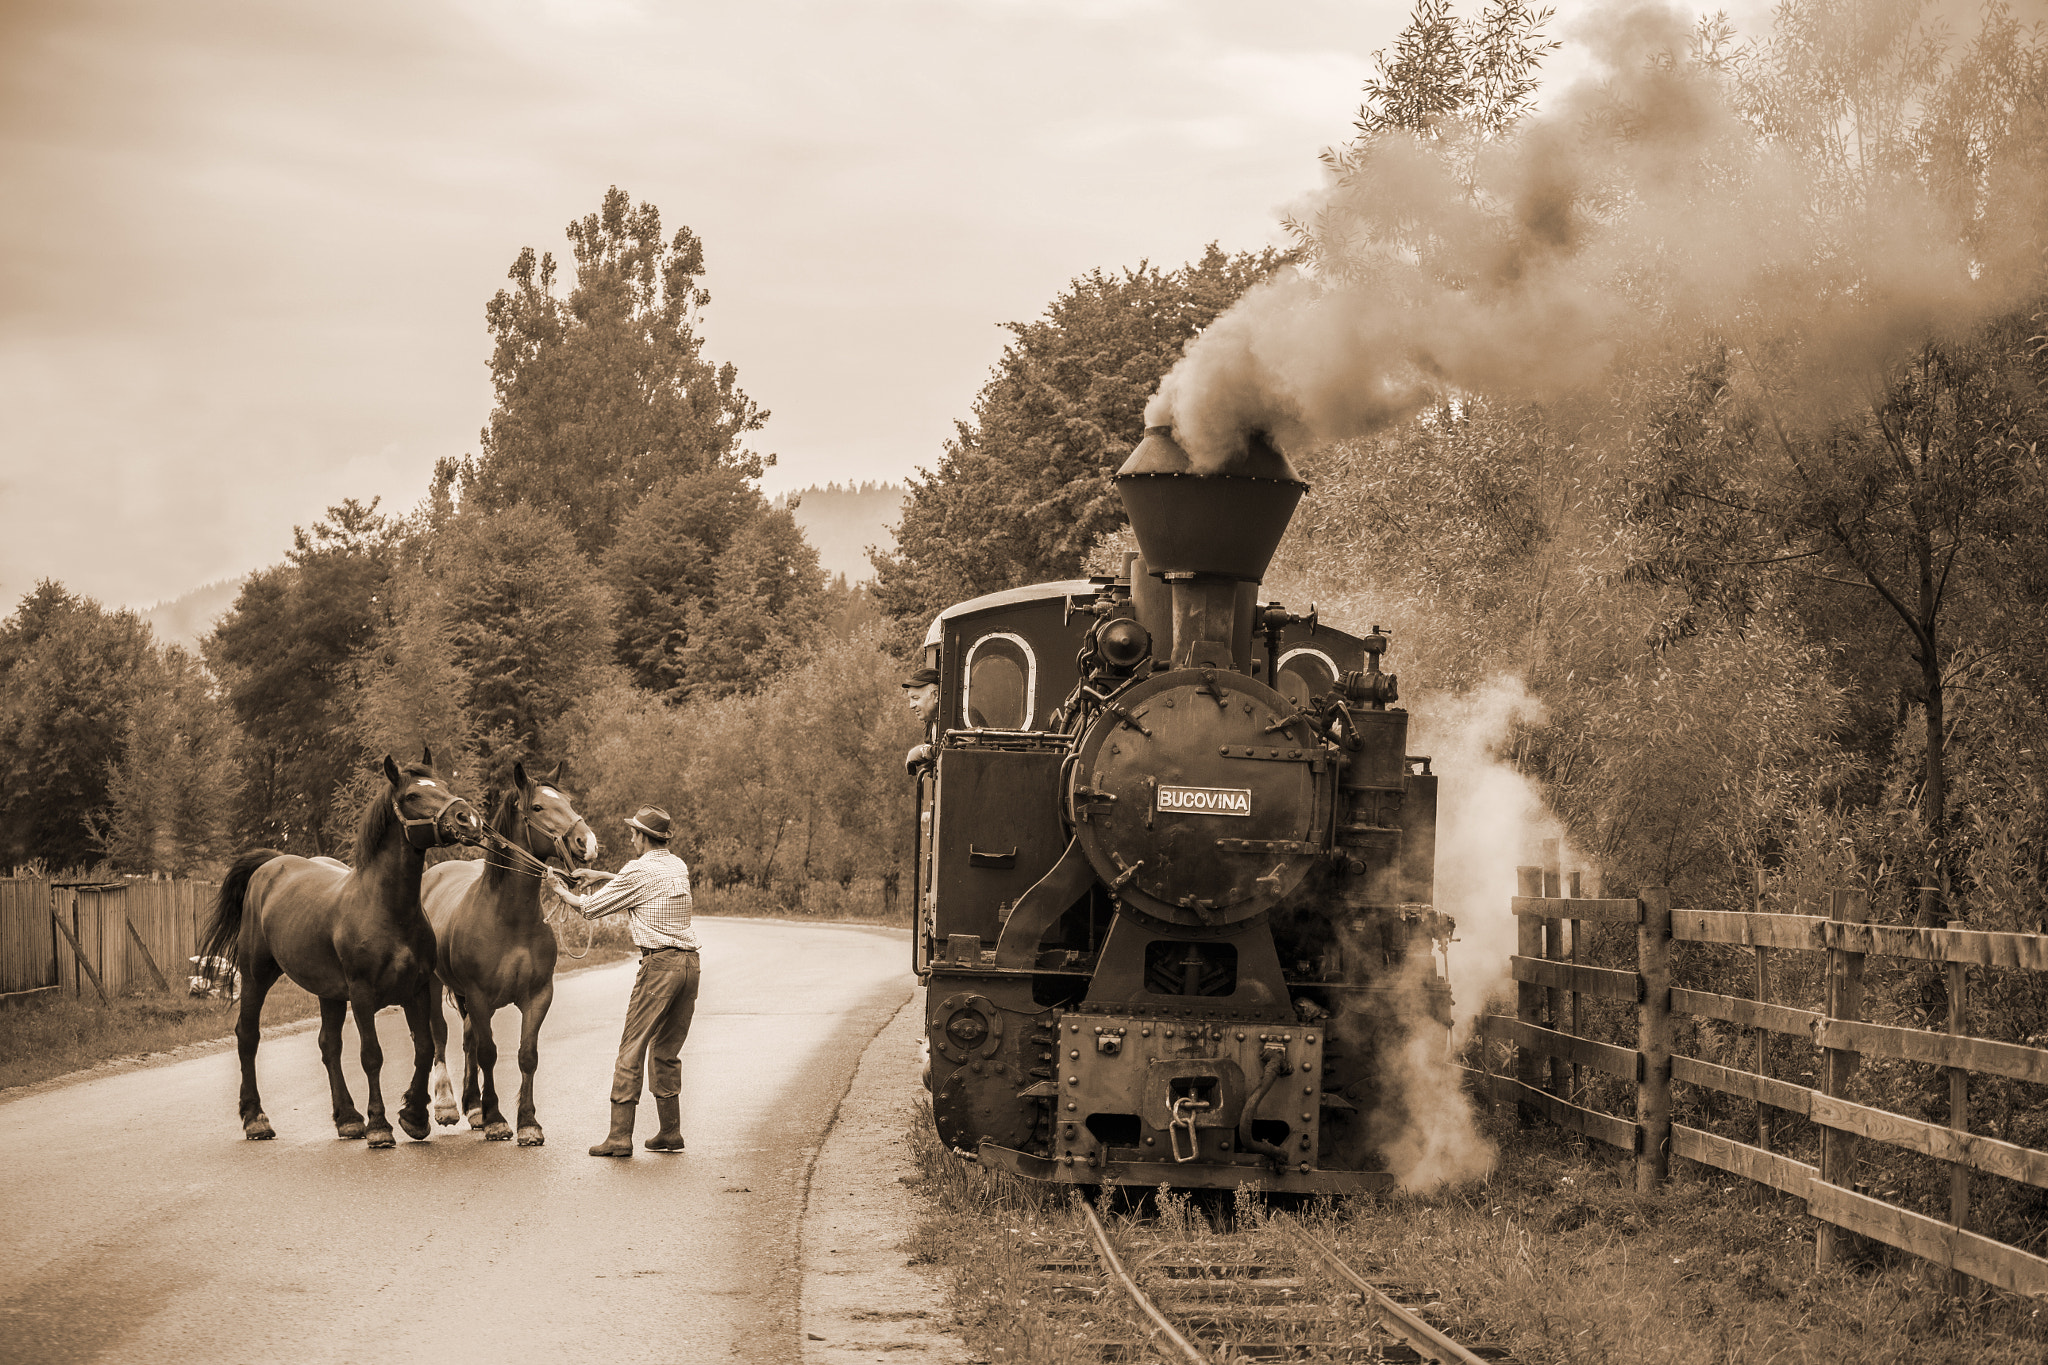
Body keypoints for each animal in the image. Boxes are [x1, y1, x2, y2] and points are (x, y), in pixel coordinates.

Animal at [201, 753, 485, 1146]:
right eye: (412, 795)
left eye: (443, 786)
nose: (467, 819)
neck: (386, 908)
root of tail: (270, 866)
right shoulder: (363, 994)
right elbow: (372, 1056)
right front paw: (380, 1125)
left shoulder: (415, 990)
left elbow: (424, 1048)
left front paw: (414, 1116)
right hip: (256, 975)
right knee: (248, 1037)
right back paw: (256, 1119)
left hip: (330, 993)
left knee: (329, 1045)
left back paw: (348, 1118)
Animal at [423, 765, 598, 1146]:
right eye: (537, 807)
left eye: (568, 801)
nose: (587, 842)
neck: (509, 918)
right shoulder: (479, 997)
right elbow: (489, 1053)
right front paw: (496, 1120)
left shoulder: (538, 996)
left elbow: (526, 1055)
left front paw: (528, 1122)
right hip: (434, 986)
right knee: (441, 1036)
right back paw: (447, 1106)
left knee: (468, 1040)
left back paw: (473, 1107)